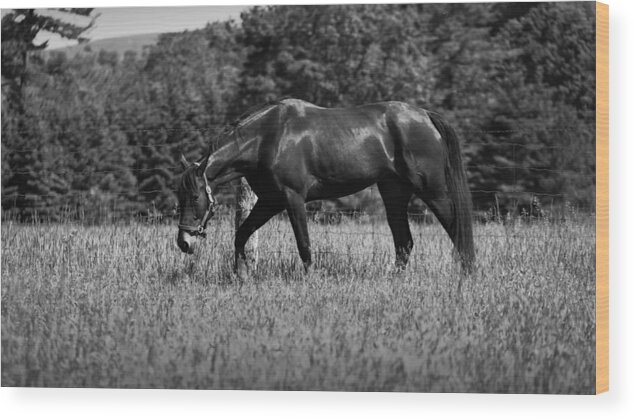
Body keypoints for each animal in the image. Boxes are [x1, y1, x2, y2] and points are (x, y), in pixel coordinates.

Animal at [175, 98, 472, 276]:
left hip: (432, 190)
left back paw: (468, 273)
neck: (267, 138)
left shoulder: (292, 199)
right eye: (180, 197)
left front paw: (310, 279)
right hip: (394, 193)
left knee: (456, 229)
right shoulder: (270, 201)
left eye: (195, 196)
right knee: (404, 243)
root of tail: (425, 116)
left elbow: (304, 244)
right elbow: (241, 235)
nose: (183, 242)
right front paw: (242, 274)